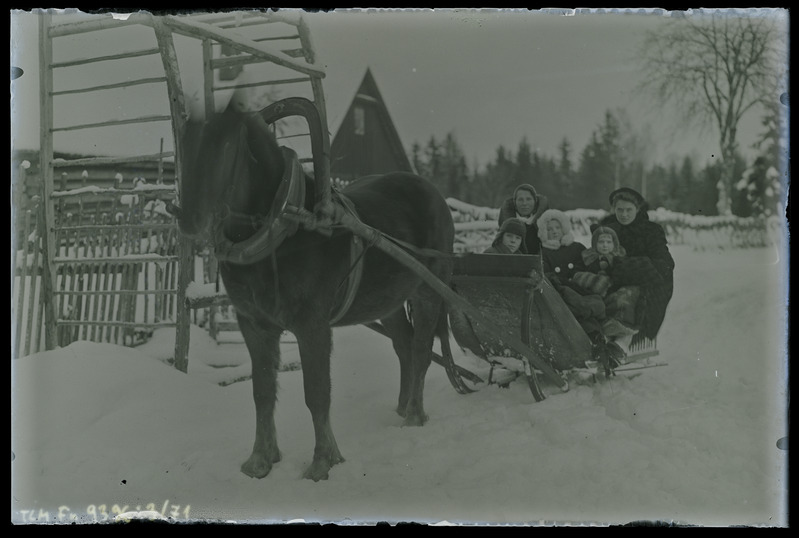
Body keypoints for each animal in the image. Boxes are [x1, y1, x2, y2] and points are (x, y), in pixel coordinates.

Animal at [169, 101, 456, 482]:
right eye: (184, 146)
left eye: (226, 146)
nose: (188, 217)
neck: (284, 225)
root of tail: (433, 192)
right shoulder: (254, 325)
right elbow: (262, 391)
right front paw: (260, 459)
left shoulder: (312, 327)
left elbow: (316, 393)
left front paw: (323, 461)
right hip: (388, 302)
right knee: (404, 346)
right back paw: (401, 405)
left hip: (428, 292)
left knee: (422, 350)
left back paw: (413, 415)